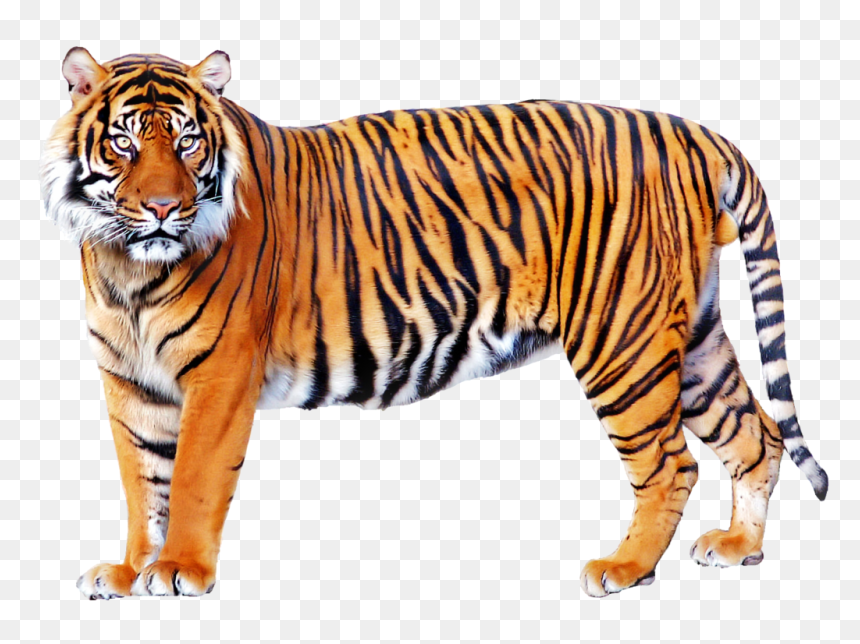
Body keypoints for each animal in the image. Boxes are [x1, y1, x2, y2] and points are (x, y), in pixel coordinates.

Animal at [40, 47, 828, 600]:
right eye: (124, 144)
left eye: (187, 143)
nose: (163, 209)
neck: (128, 270)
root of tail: (694, 133)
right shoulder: (130, 383)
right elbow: (143, 483)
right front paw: (130, 570)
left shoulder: (220, 374)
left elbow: (193, 479)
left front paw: (179, 571)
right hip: (690, 339)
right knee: (755, 435)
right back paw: (740, 549)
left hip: (622, 342)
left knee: (670, 464)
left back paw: (626, 568)